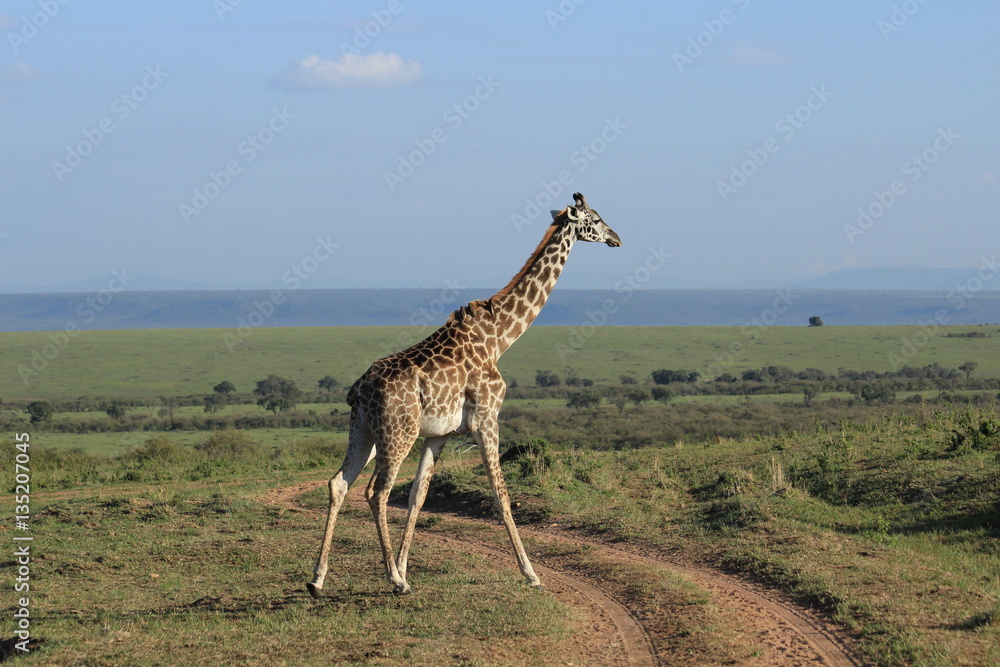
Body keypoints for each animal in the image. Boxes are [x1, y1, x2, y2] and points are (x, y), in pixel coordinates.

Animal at [307, 192, 621, 597]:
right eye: (594, 219)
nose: (617, 238)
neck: (500, 336)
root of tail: (358, 390)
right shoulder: (487, 418)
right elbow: (501, 495)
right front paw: (530, 573)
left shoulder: (439, 435)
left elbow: (418, 496)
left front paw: (405, 566)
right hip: (397, 434)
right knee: (376, 492)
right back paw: (393, 580)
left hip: (363, 432)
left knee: (339, 484)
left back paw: (318, 579)